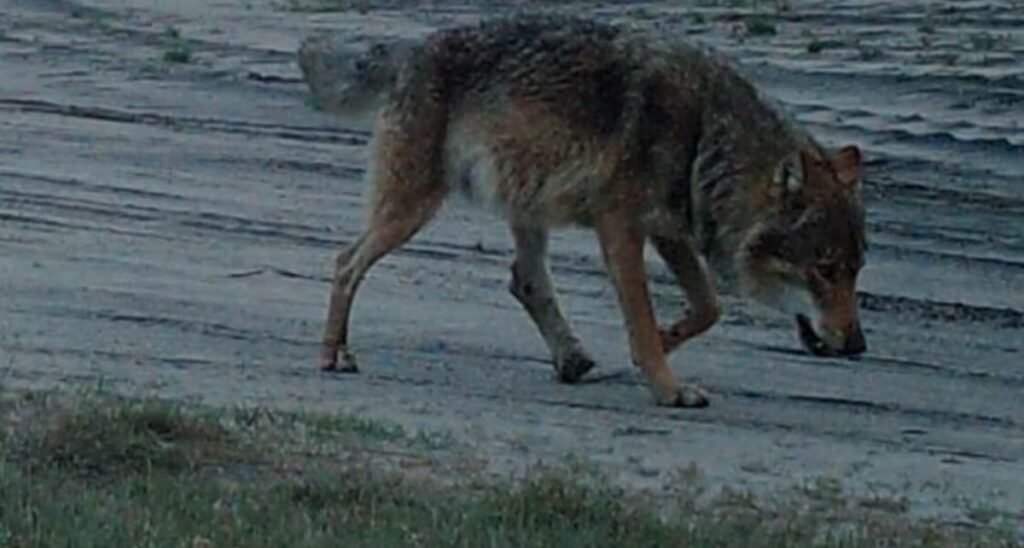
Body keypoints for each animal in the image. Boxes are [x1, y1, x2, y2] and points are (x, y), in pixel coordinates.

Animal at [301, 15, 868, 408]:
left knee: (524, 280)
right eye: (824, 270)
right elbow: (642, 316)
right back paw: (333, 355)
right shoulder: (620, 228)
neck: (705, 137)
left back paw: (570, 359)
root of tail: (412, 48)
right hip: (411, 210)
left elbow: (708, 307)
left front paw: (666, 342)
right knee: (345, 262)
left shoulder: (669, 232)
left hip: (521, 204)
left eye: (856, 270)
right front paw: (666, 386)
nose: (858, 346)